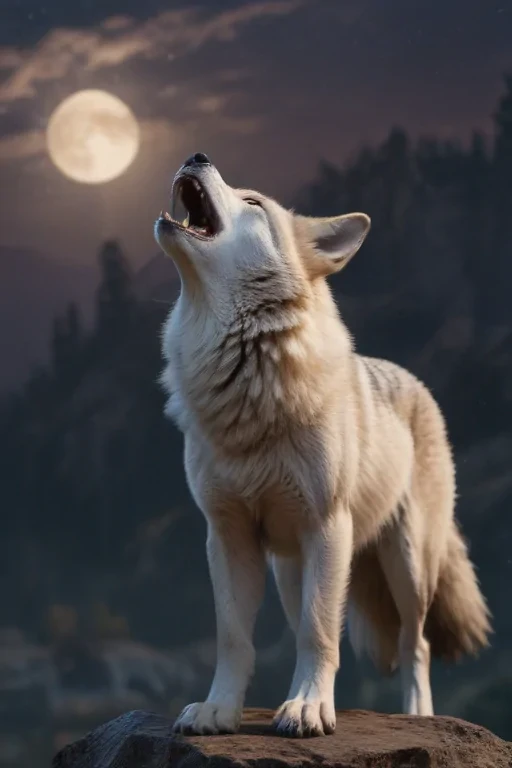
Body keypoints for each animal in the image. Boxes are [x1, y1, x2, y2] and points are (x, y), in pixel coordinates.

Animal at [154, 152, 491, 738]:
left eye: (253, 202)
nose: (196, 155)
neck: (249, 383)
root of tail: (414, 381)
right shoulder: (226, 535)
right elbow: (233, 637)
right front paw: (220, 710)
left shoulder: (327, 526)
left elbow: (319, 633)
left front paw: (309, 709)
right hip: (292, 569)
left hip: (406, 563)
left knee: (416, 643)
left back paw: (418, 715)